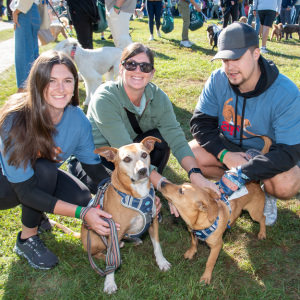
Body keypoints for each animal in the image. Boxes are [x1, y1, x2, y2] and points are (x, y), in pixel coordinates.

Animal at [81, 137, 171, 294]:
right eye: (127, 159)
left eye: (144, 154)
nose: (143, 170)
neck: (138, 194)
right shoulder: (114, 231)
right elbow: (110, 261)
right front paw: (109, 282)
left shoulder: (153, 221)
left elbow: (157, 246)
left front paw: (162, 262)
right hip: (96, 239)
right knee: (97, 254)